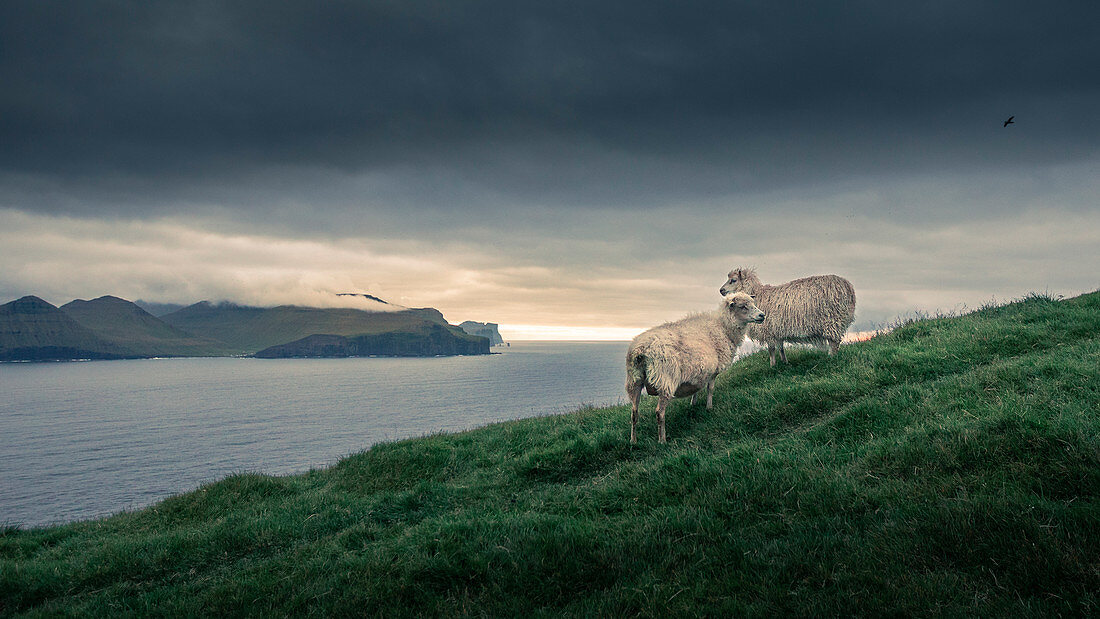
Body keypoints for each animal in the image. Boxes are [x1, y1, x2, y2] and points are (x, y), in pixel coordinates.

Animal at [629, 292, 765, 444]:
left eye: (752, 303)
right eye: (743, 306)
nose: (762, 315)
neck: (723, 327)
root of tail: (641, 351)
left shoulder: (699, 372)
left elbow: (697, 389)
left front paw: (693, 404)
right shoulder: (713, 371)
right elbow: (710, 389)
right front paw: (709, 407)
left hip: (634, 381)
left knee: (634, 413)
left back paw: (633, 441)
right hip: (665, 381)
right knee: (659, 412)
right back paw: (662, 440)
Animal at [721, 267, 858, 365]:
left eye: (733, 280)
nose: (721, 290)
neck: (757, 294)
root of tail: (847, 286)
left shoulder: (768, 328)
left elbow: (771, 349)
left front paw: (772, 365)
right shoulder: (777, 330)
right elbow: (781, 348)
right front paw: (785, 362)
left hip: (833, 320)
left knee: (834, 342)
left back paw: (831, 357)